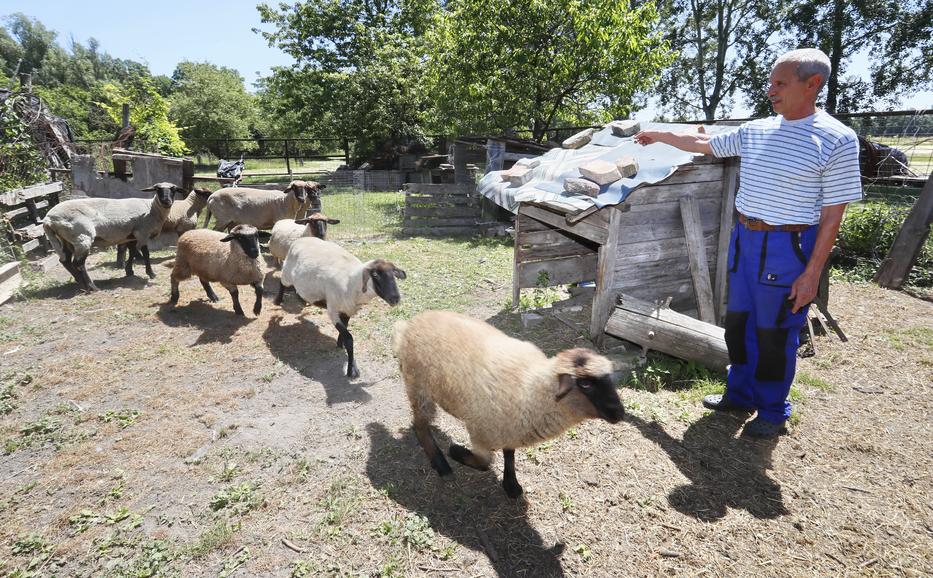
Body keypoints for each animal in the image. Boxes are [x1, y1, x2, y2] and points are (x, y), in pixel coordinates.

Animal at [42, 182, 177, 290]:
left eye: (173, 190)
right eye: (158, 189)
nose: (166, 201)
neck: (151, 209)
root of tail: (48, 219)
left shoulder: (131, 235)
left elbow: (132, 252)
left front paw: (129, 271)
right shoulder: (142, 233)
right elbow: (145, 254)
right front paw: (151, 273)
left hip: (66, 239)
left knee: (65, 260)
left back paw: (79, 281)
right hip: (82, 237)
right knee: (78, 264)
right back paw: (91, 287)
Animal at [276, 235, 408, 378]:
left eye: (394, 274)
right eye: (375, 275)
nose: (395, 298)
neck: (352, 283)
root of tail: (301, 239)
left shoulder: (347, 311)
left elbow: (344, 332)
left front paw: (340, 345)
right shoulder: (333, 310)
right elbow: (349, 338)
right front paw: (350, 370)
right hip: (287, 273)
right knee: (281, 282)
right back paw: (277, 303)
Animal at [390, 308, 624, 498]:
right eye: (585, 384)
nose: (619, 413)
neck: (532, 391)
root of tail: (408, 325)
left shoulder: (510, 427)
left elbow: (509, 455)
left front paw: (511, 485)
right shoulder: (480, 432)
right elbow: (484, 463)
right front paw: (456, 451)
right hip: (418, 386)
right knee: (420, 425)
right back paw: (441, 464)